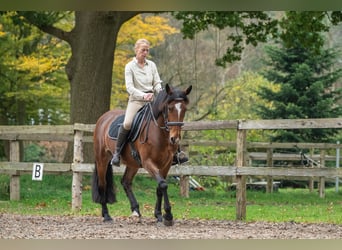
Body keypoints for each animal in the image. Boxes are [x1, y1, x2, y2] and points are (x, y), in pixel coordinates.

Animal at [92, 83, 191, 226]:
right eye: (170, 108)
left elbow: (160, 187)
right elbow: (163, 184)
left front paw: (159, 215)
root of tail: (103, 118)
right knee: (102, 184)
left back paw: (136, 211)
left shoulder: (166, 164)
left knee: (126, 182)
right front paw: (168, 216)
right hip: (102, 159)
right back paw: (107, 215)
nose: (175, 139)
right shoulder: (148, 162)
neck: (159, 133)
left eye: (184, 109)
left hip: (132, 163)